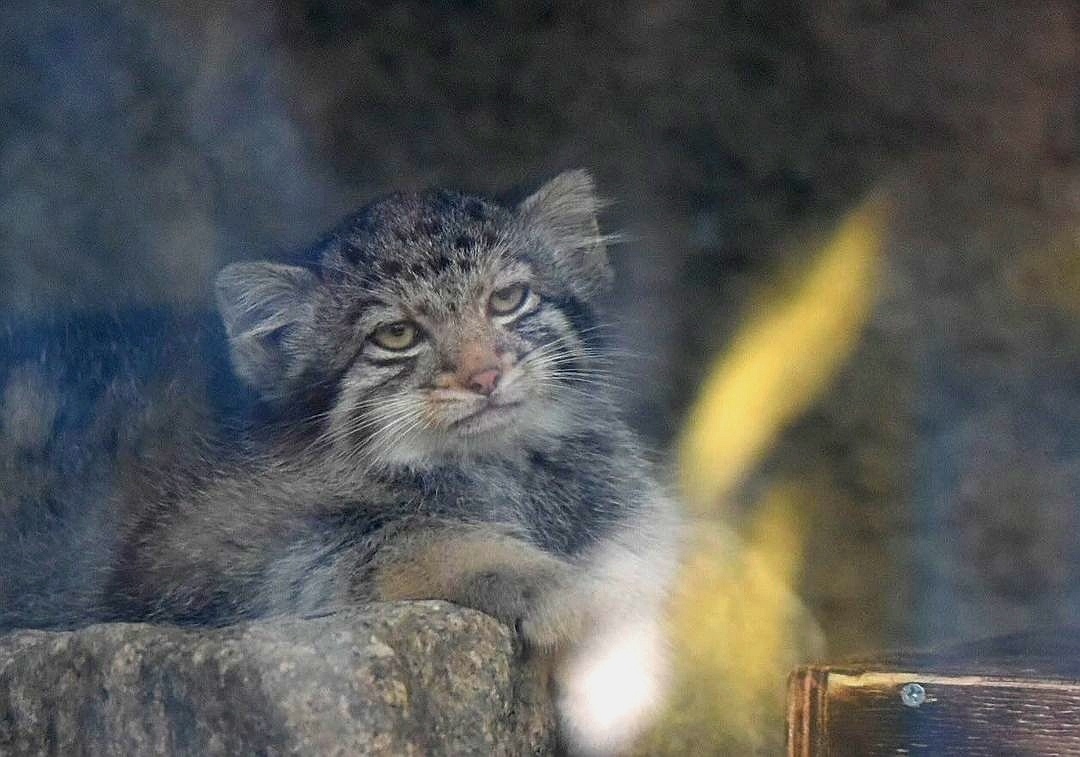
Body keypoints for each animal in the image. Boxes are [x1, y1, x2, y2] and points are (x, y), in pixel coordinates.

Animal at [0, 172, 673, 755]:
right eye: (396, 335)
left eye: (508, 298)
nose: (484, 376)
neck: (500, 468)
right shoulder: (190, 561)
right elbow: (414, 535)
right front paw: (560, 590)